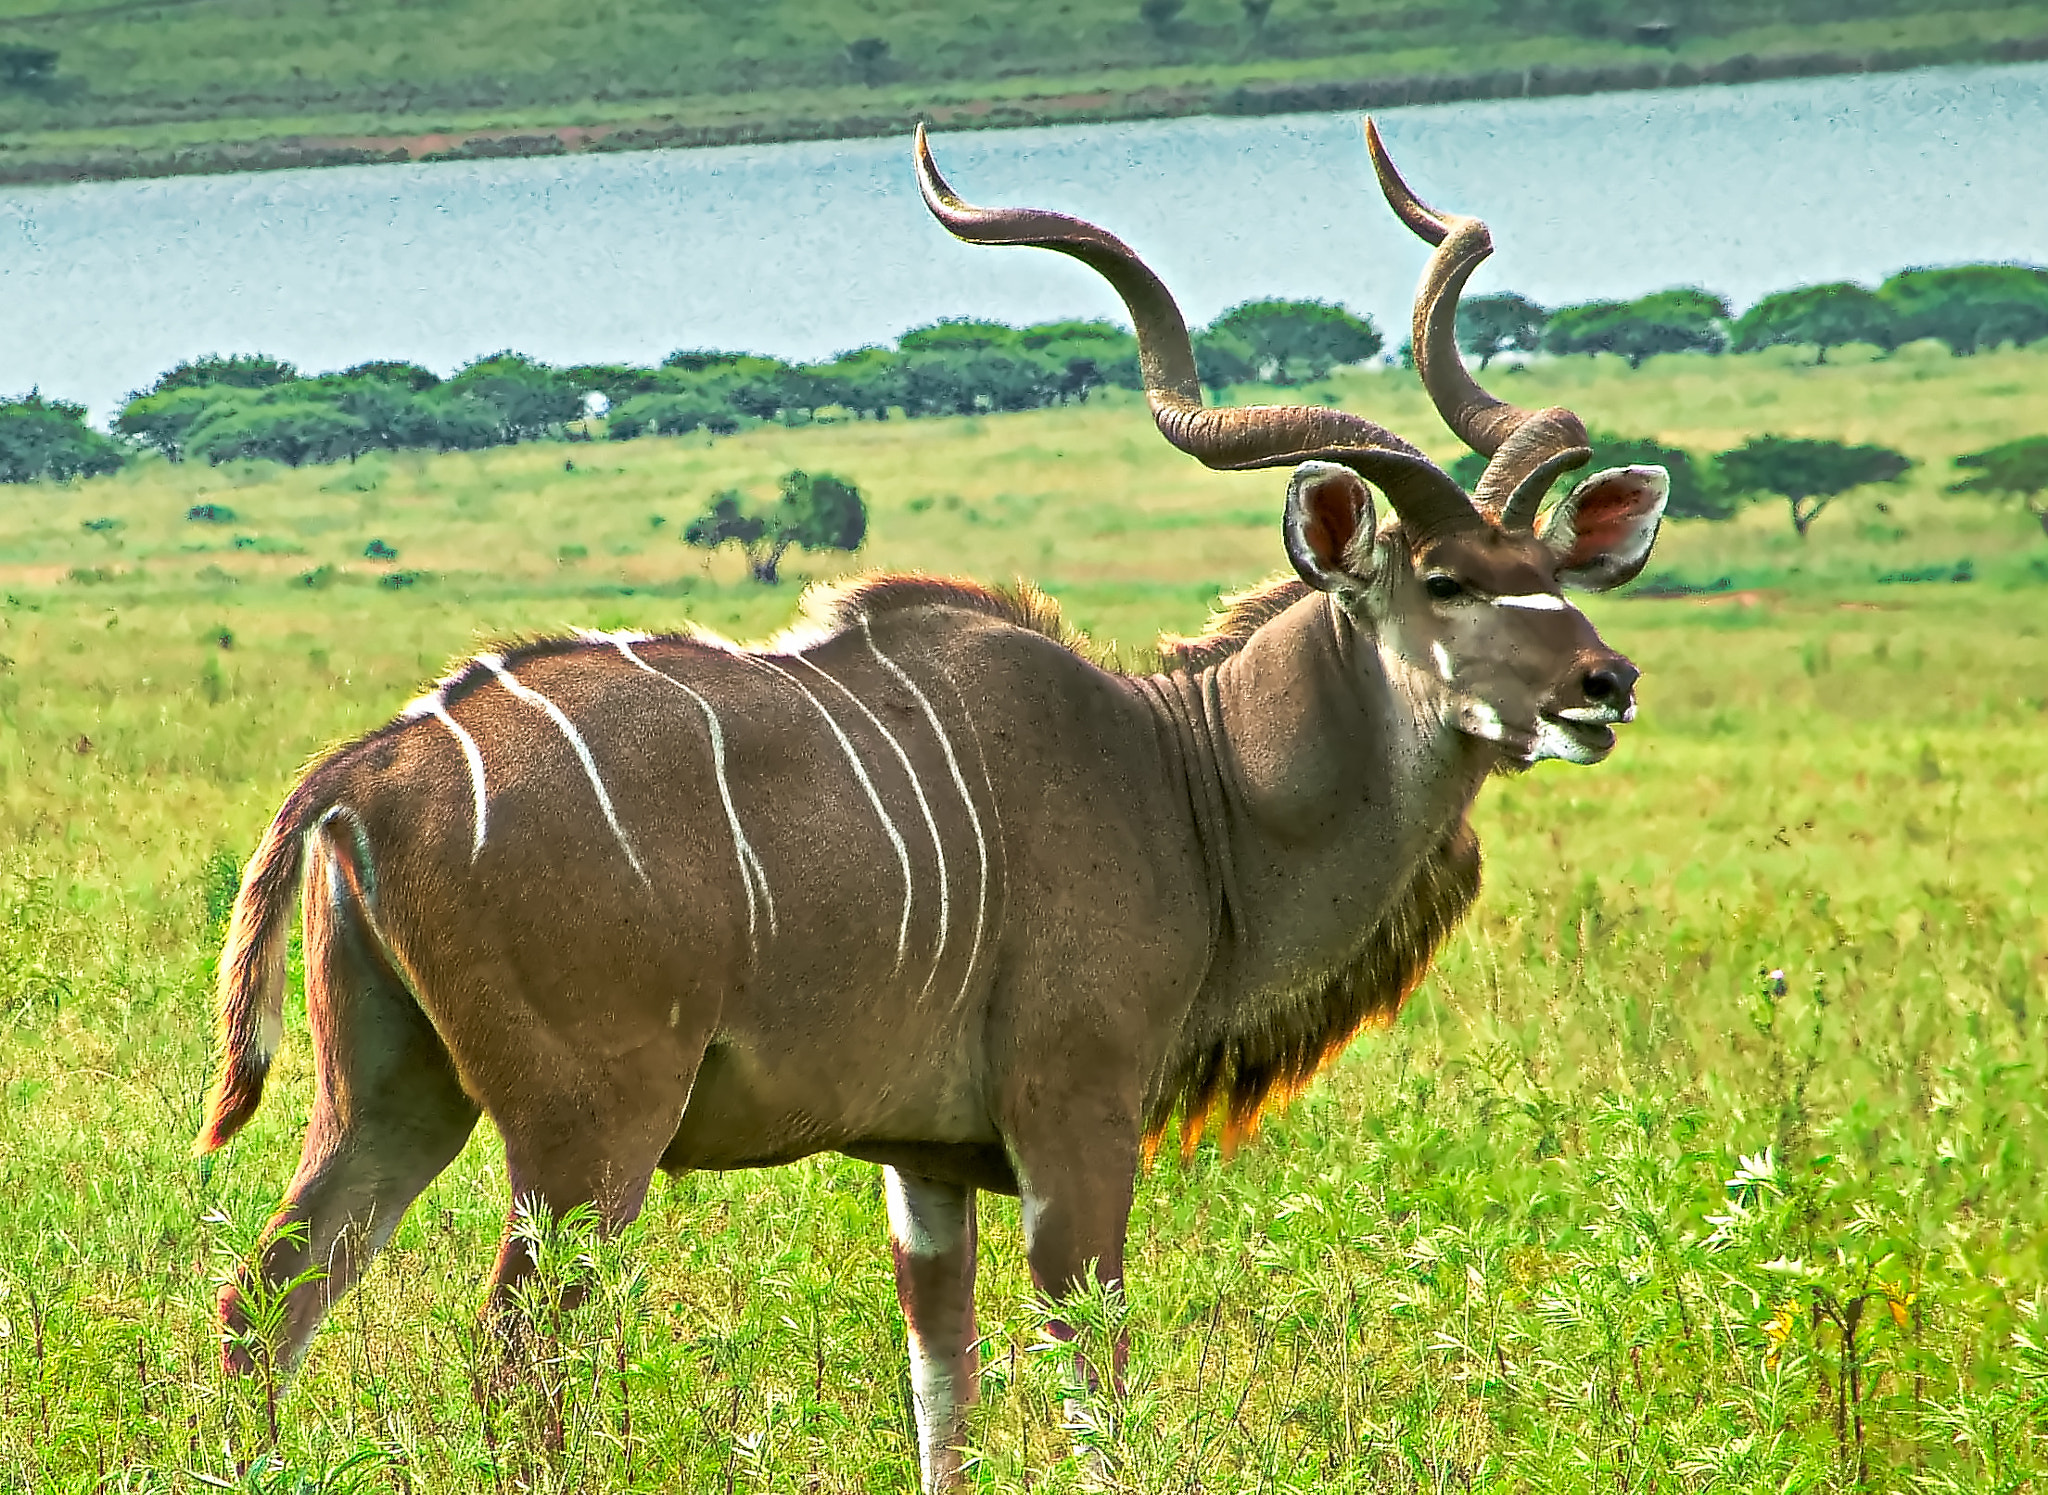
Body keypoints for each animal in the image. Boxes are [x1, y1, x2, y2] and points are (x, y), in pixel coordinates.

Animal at [195, 122, 1662, 1482]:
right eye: (1445, 581)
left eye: (1546, 569)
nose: (1605, 681)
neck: (1185, 774)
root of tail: (370, 768)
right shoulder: (1074, 1117)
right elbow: (1090, 1369)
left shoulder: (927, 1161)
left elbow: (937, 1374)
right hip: (585, 1134)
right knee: (513, 1352)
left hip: (394, 1096)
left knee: (264, 1301)